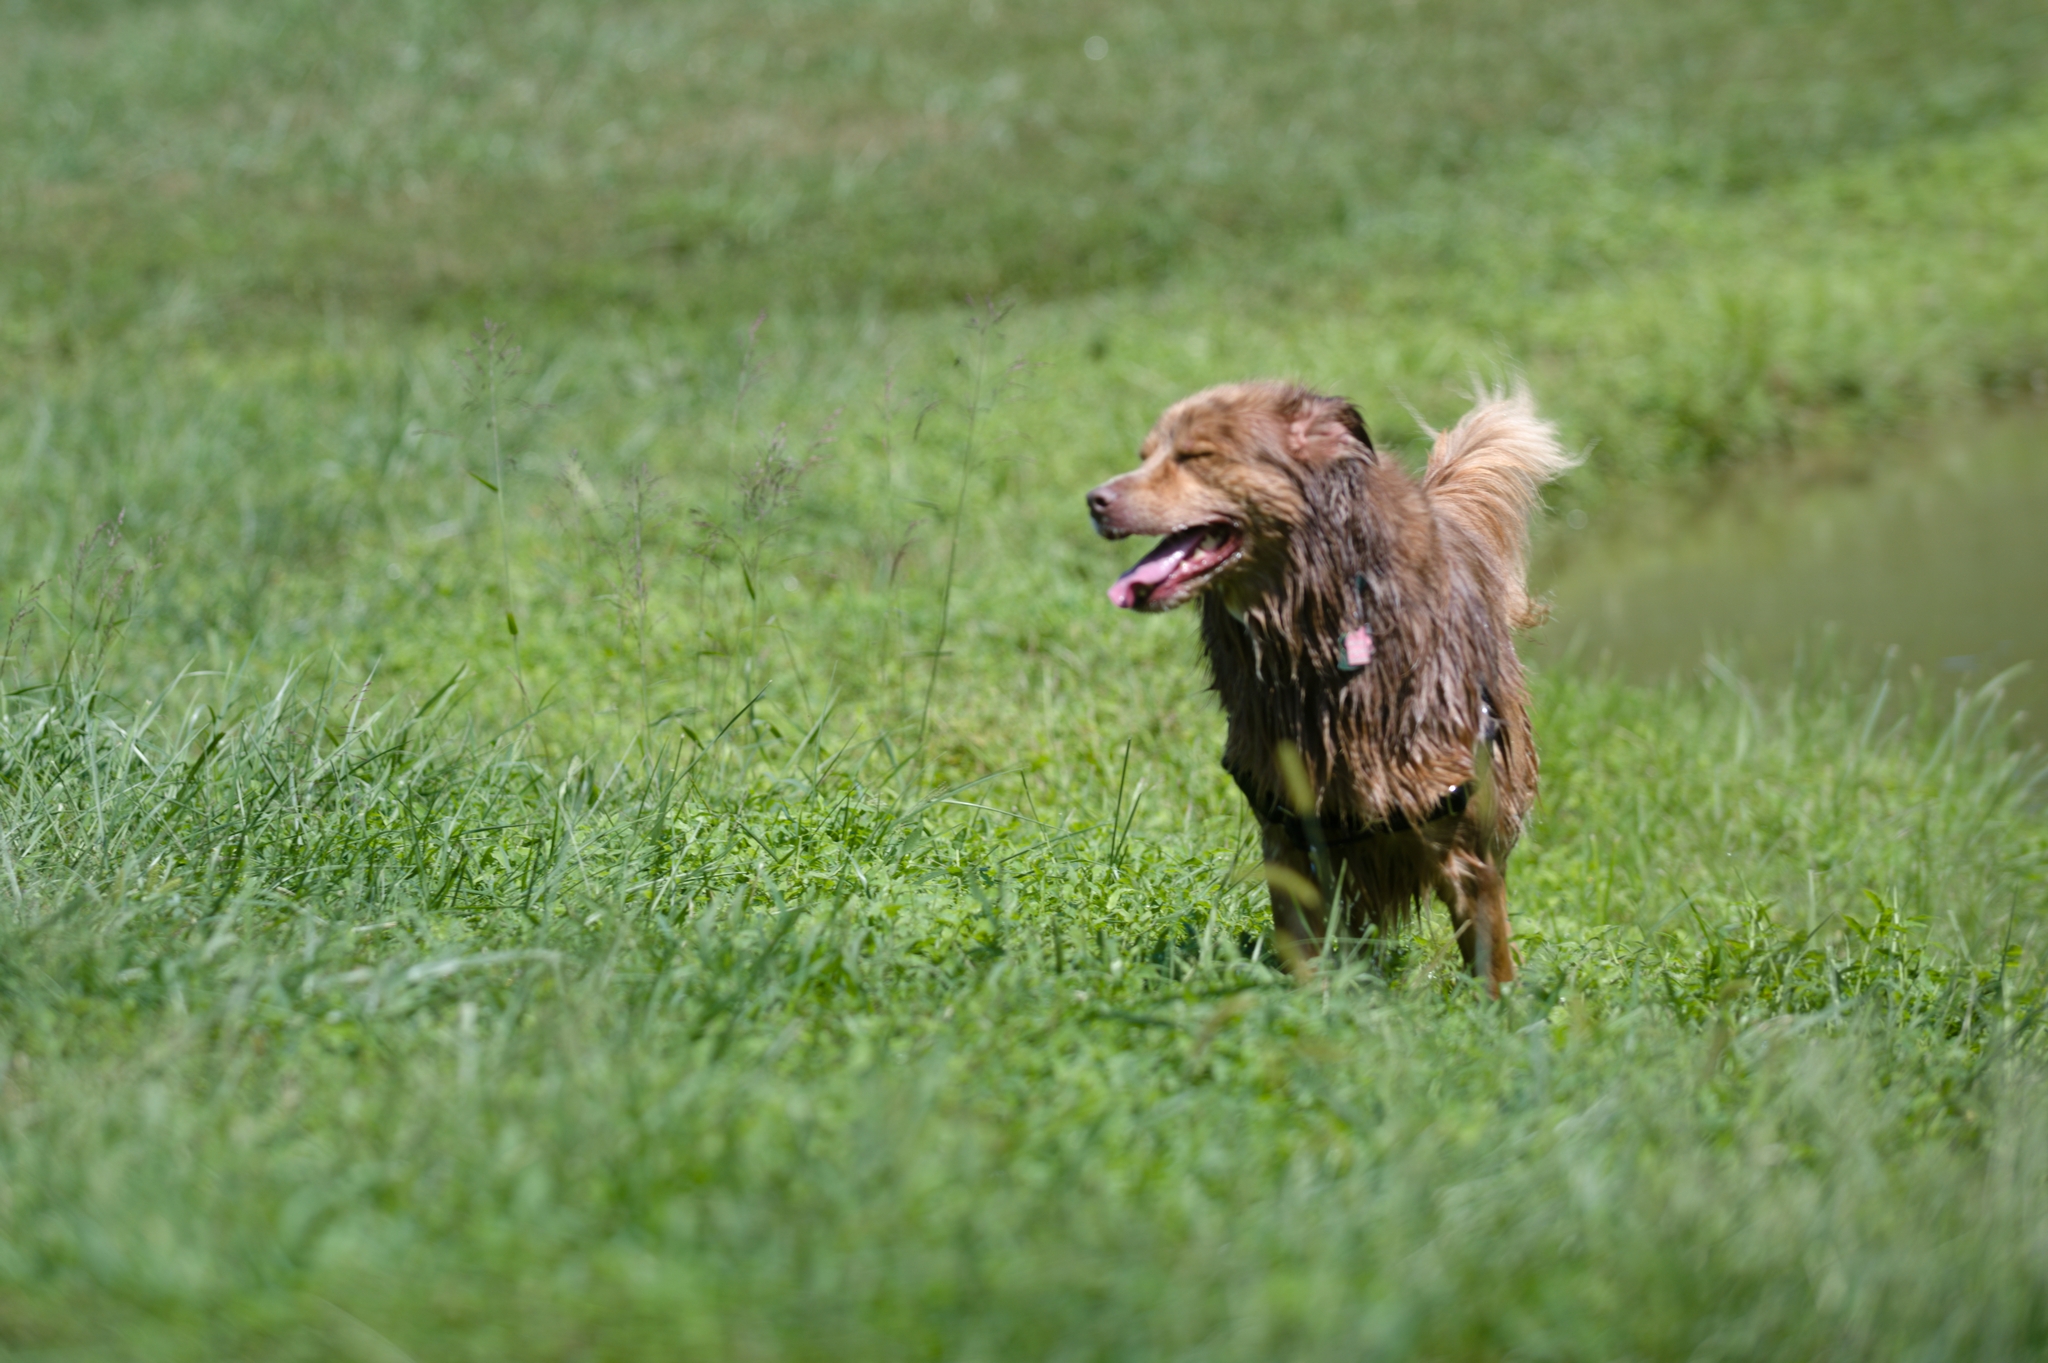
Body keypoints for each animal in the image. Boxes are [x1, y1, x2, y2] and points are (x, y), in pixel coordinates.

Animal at [1097, 382, 1572, 986]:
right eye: (1145, 456)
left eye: (1198, 456)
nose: (1095, 500)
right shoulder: (1288, 835)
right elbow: (1306, 961)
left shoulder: (1468, 845)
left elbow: (1493, 971)